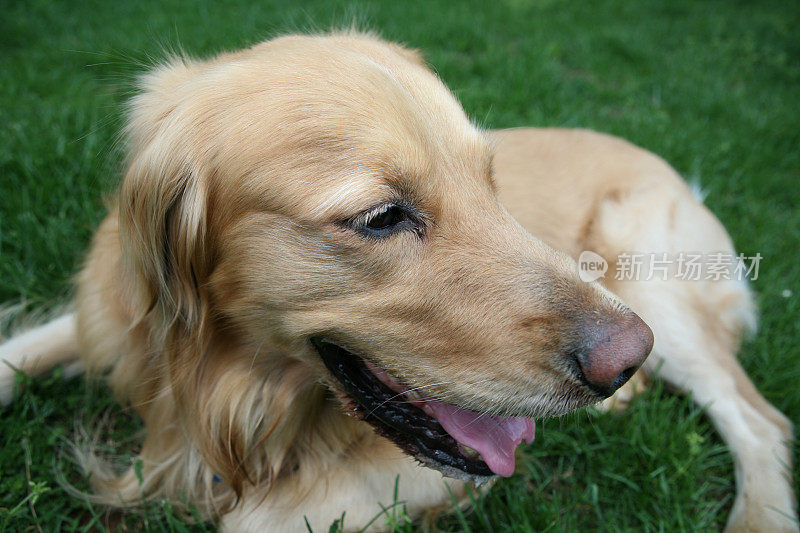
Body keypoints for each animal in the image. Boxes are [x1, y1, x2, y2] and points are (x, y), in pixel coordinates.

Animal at [0, 32, 796, 528]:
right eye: (381, 217)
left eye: (490, 180)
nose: (622, 357)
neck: (223, 389)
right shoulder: (108, 321)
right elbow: (18, 352)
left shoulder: (408, 475)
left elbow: (256, 520)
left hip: (651, 284)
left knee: (759, 418)